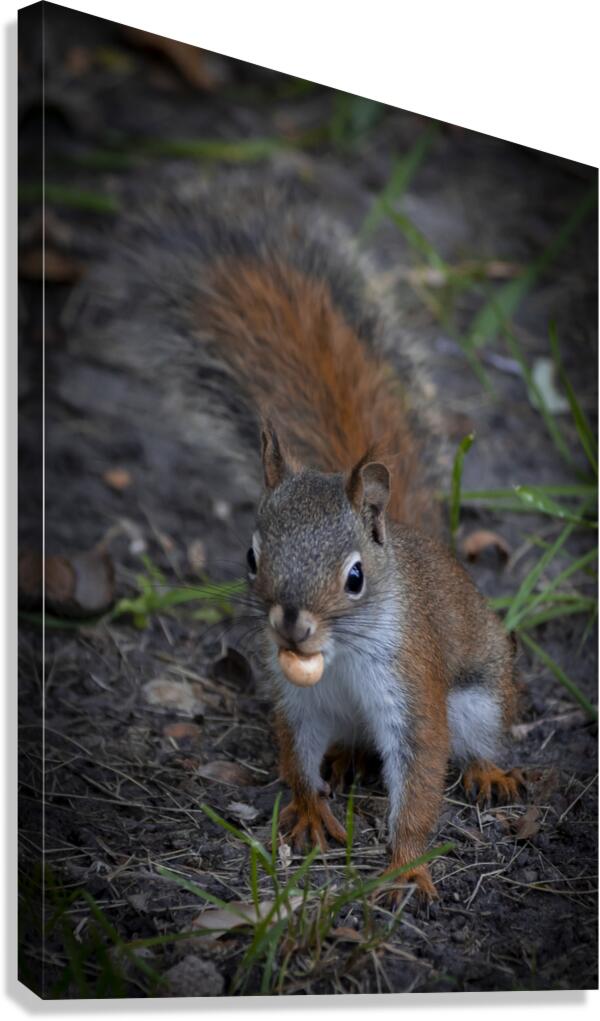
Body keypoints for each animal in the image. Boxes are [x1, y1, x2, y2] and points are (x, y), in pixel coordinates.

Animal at [75, 171, 522, 901]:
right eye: (250, 555)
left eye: (355, 577)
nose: (291, 626)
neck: (336, 658)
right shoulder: (298, 704)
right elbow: (294, 756)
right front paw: (311, 811)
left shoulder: (412, 684)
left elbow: (422, 772)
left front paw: (405, 862)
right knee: (342, 745)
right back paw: (342, 762)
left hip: (483, 690)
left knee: (481, 736)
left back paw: (489, 771)